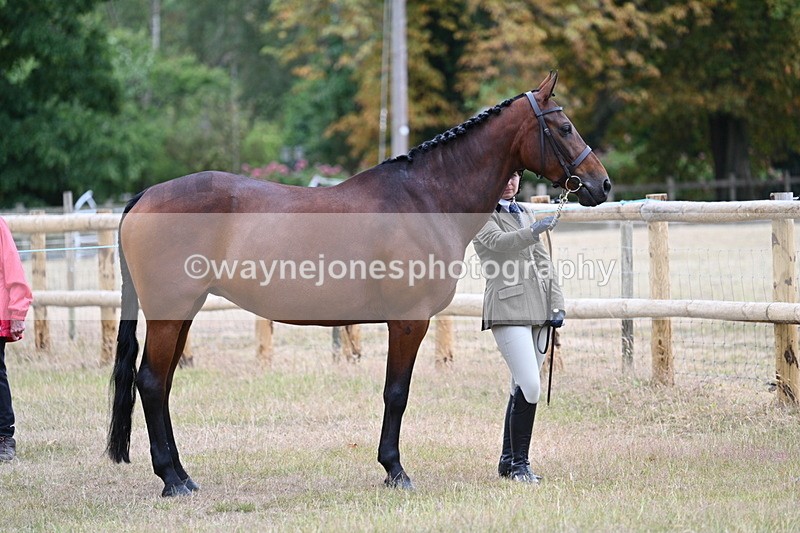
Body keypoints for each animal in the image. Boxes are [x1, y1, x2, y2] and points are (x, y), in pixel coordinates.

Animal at [106, 71, 611, 497]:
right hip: (170, 313)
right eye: (564, 126)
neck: (425, 200)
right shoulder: (408, 322)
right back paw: (172, 480)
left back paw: (182, 475)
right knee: (150, 382)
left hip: (184, 313)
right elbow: (396, 394)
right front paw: (395, 471)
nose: (601, 184)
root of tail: (145, 197)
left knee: (162, 385)